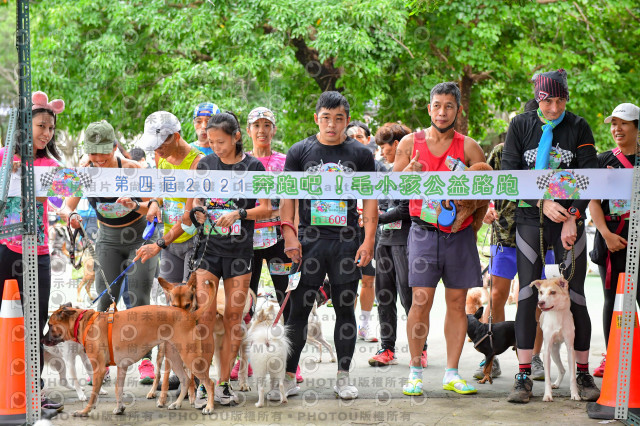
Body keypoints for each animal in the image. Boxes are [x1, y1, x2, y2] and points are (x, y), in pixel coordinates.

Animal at [43, 280, 218, 416]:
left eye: (50, 325)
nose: (42, 340)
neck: (84, 323)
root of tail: (190, 315)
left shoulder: (99, 369)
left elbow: (93, 395)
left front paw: (85, 411)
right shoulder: (122, 367)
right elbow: (118, 389)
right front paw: (120, 407)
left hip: (190, 358)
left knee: (209, 382)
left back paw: (209, 407)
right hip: (173, 357)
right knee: (186, 379)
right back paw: (177, 404)